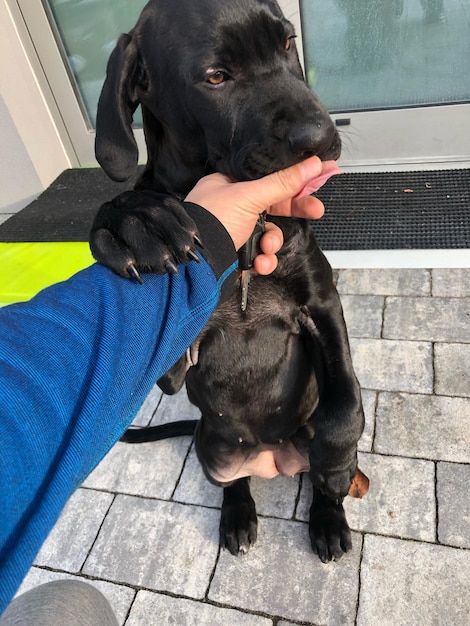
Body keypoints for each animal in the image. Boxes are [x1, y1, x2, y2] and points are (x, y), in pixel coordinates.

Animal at [90, 0, 366, 560]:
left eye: (287, 43)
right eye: (216, 77)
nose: (320, 136)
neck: (248, 243)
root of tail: (271, 455)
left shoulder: (320, 302)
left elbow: (345, 400)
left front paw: (337, 463)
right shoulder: (174, 358)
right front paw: (134, 221)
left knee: (316, 473)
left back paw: (328, 513)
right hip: (213, 449)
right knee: (232, 482)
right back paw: (237, 515)